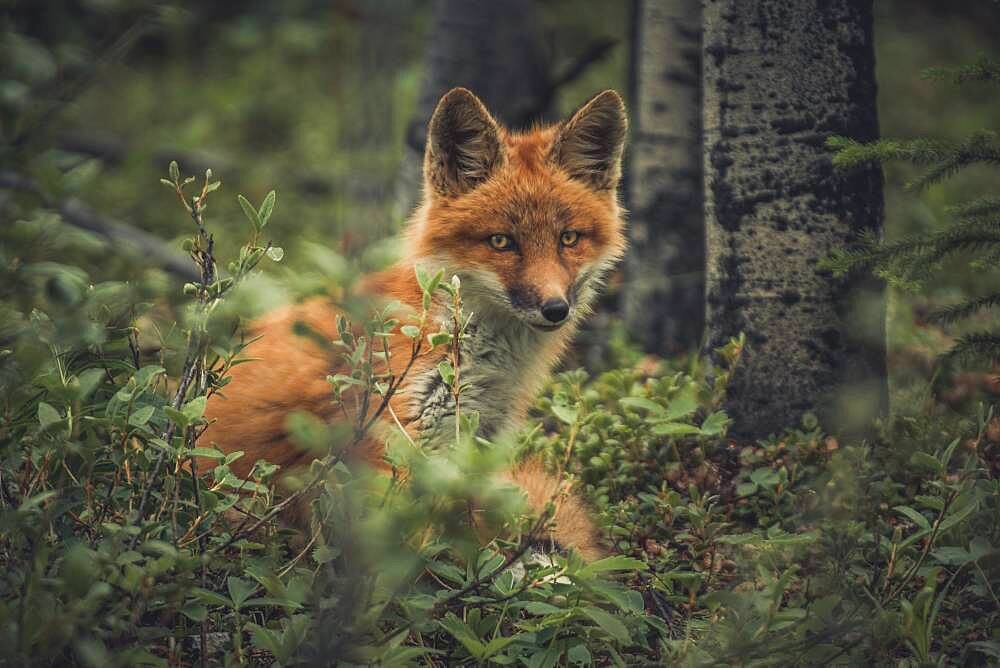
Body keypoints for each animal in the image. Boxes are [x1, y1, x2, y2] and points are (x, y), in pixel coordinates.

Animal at [202, 87, 624, 560]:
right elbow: (404, 552)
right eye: (501, 242)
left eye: (568, 238)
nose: (555, 309)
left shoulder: (473, 447)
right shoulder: (390, 443)